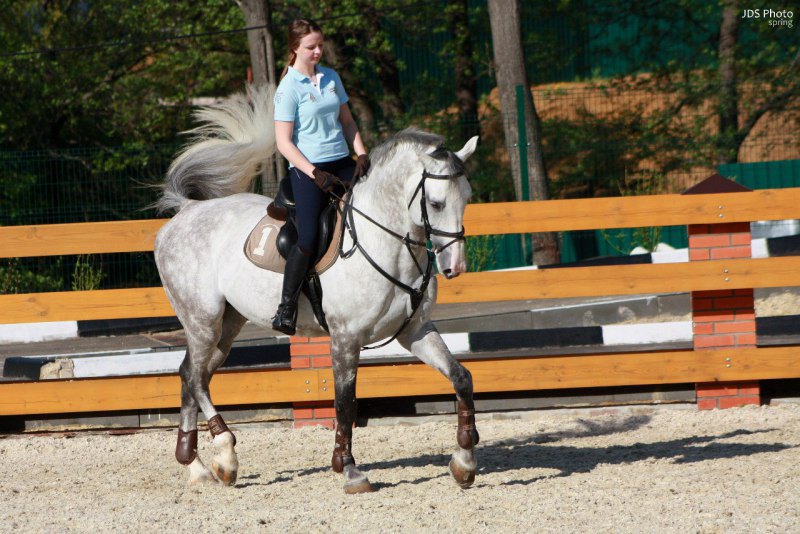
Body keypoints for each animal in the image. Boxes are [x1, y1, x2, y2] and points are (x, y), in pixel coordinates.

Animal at [155, 86, 482, 496]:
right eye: (436, 203)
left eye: (467, 197)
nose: (455, 266)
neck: (386, 241)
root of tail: (185, 212)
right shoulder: (345, 338)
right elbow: (346, 404)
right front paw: (350, 470)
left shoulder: (415, 331)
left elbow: (461, 378)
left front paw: (464, 462)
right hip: (203, 320)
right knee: (195, 377)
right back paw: (225, 454)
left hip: (226, 326)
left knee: (191, 374)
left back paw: (197, 465)